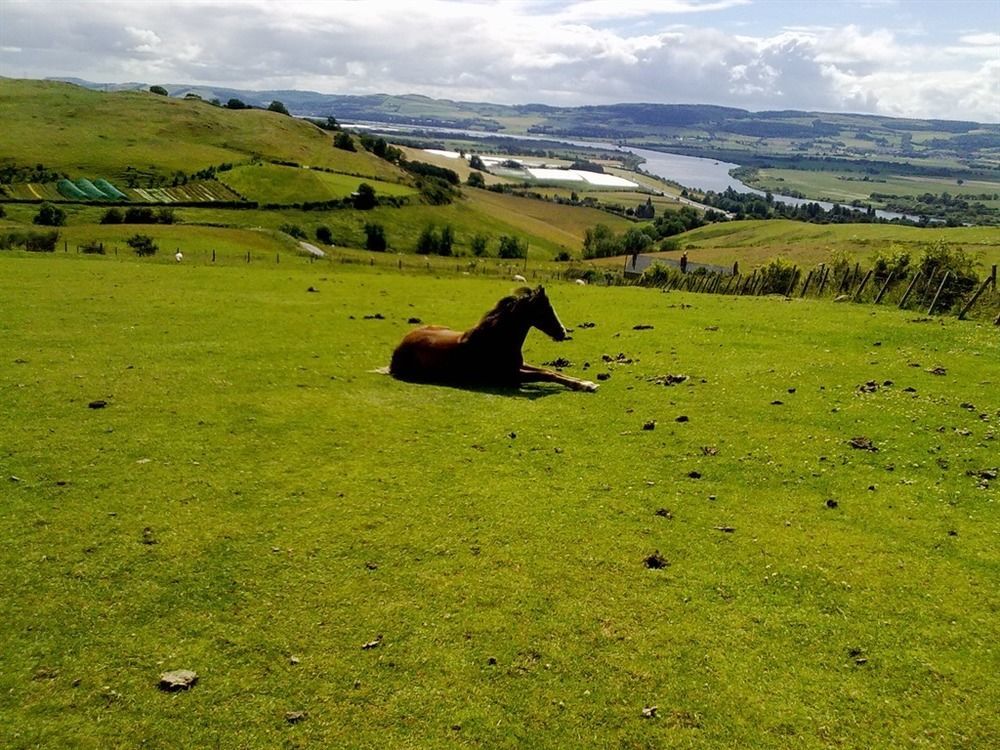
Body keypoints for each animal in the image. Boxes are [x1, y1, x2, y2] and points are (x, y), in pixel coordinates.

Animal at [388, 286, 592, 394]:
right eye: (545, 310)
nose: (562, 332)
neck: (497, 340)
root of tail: (399, 346)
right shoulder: (510, 375)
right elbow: (546, 375)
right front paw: (587, 385)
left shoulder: (520, 365)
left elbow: (550, 371)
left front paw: (583, 382)